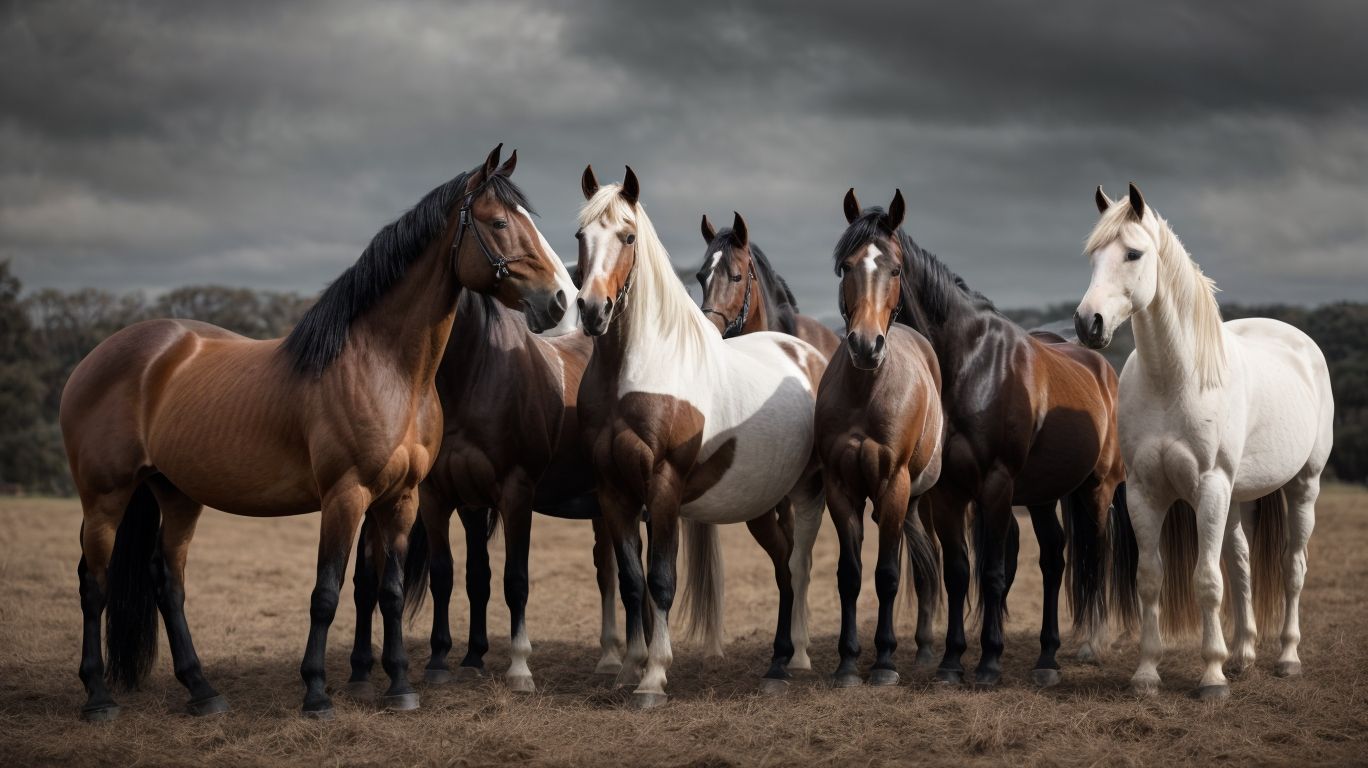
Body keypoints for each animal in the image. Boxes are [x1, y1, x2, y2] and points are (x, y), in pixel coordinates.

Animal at [58, 144, 575, 720]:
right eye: (501, 222)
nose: (559, 299)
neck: (385, 367)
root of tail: (99, 356)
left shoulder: (402, 499)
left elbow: (389, 591)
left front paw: (400, 686)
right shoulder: (345, 496)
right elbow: (326, 593)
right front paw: (316, 693)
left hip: (175, 494)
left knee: (167, 584)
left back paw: (202, 691)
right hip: (105, 497)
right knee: (94, 585)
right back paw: (99, 696)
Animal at [346, 291, 622, 696]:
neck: (470, 378)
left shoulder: (515, 495)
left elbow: (515, 580)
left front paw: (519, 669)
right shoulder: (446, 499)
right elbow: (459, 575)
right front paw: (452, 659)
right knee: (607, 570)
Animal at [815, 222, 945, 687]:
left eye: (895, 269)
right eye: (847, 266)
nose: (866, 345)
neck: (866, 392)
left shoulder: (894, 487)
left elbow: (887, 575)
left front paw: (885, 662)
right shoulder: (840, 490)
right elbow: (850, 577)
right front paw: (848, 663)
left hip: (922, 497)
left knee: (931, 559)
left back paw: (926, 648)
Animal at [835, 188, 1129, 688]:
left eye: (894, 270)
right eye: (845, 266)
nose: (864, 345)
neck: (971, 365)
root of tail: (1103, 367)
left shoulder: (995, 485)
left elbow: (992, 572)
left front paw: (989, 661)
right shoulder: (948, 494)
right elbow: (958, 572)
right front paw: (952, 662)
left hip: (1097, 490)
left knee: (1096, 557)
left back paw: (1089, 645)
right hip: (1041, 495)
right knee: (1053, 558)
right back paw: (1046, 659)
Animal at [1076, 184, 1334, 699]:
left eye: (1133, 253)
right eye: (1094, 254)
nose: (1087, 323)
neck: (1175, 380)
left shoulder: (1210, 488)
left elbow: (1207, 581)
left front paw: (1211, 677)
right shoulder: (1144, 493)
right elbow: (1151, 578)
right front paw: (1146, 673)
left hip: (1302, 487)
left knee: (1292, 568)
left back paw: (1286, 658)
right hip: (1239, 497)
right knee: (1243, 566)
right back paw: (1244, 656)